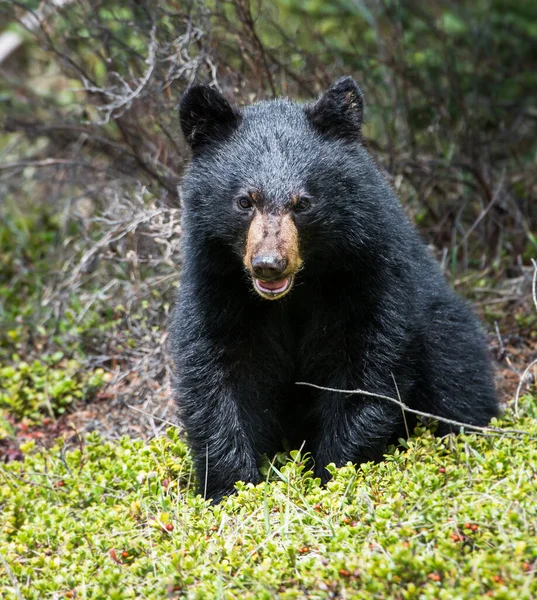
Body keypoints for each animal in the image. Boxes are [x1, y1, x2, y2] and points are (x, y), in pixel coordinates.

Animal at [172, 77, 498, 504]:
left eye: (302, 203)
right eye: (245, 201)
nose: (269, 264)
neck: (296, 291)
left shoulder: (366, 271)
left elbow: (366, 364)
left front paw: (333, 474)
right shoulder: (218, 281)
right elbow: (218, 368)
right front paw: (233, 488)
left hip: (450, 333)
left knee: (458, 378)